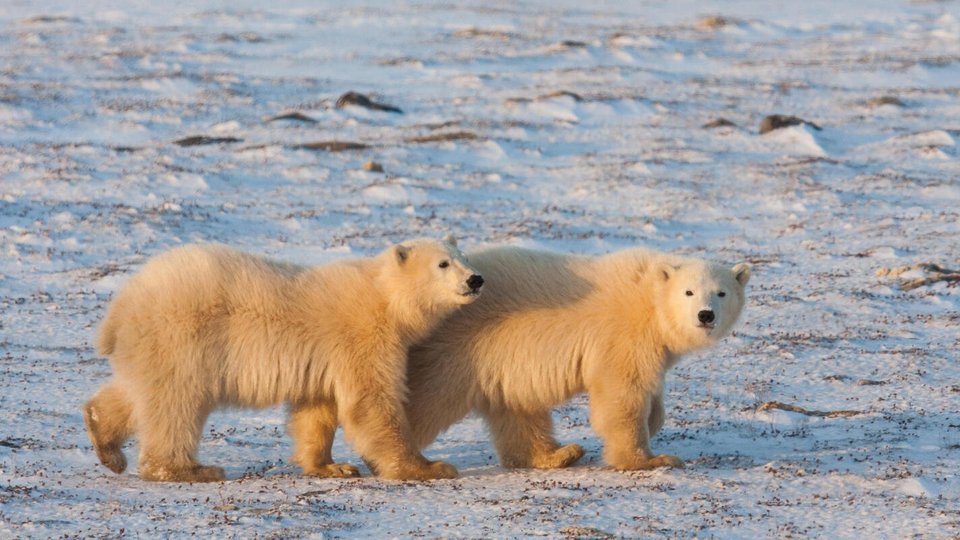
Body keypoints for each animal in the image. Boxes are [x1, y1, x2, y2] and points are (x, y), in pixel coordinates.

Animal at [83, 236, 484, 482]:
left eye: (464, 258)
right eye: (443, 264)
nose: (476, 279)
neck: (385, 297)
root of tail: (122, 307)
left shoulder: (325, 358)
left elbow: (317, 408)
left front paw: (332, 466)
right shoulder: (363, 337)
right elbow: (370, 402)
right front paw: (429, 467)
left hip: (152, 346)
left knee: (138, 394)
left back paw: (106, 442)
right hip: (182, 338)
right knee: (176, 403)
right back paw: (191, 470)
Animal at [404, 245, 750, 471]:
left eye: (721, 293)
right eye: (688, 292)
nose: (705, 315)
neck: (649, 299)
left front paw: (653, 423)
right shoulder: (622, 336)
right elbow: (622, 394)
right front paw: (649, 459)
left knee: (517, 409)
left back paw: (559, 454)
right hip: (451, 354)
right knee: (424, 403)